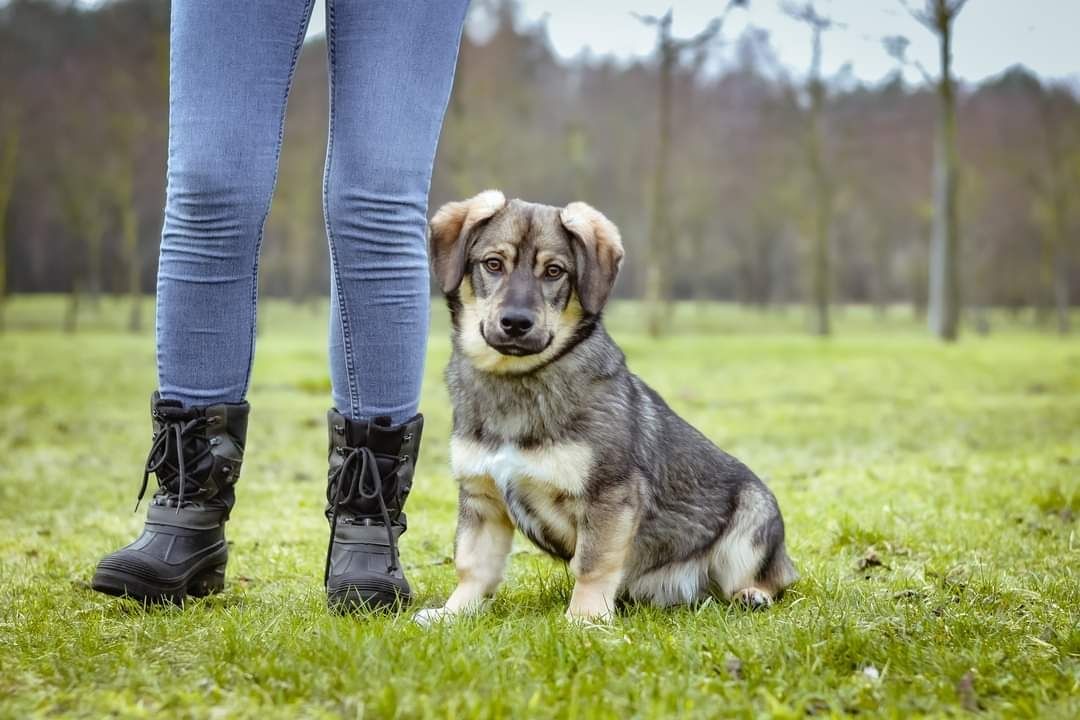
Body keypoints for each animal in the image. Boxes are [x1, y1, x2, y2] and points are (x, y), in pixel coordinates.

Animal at [416, 191, 799, 626]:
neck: (517, 381)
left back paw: (752, 593)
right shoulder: (481, 496)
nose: (515, 323)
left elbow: (592, 563)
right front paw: (453, 613)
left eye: (554, 271)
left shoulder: (609, 496)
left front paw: (584, 618)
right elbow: (473, 565)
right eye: (493, 264)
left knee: (770, 579)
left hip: (753, 516)